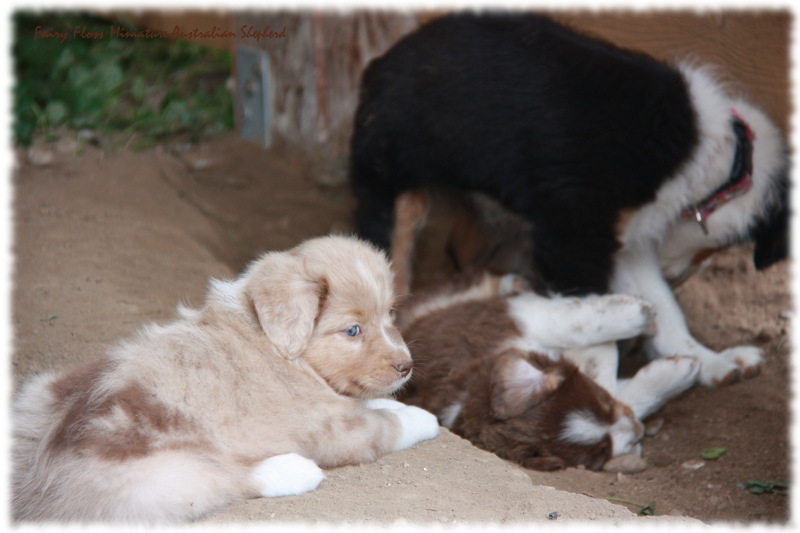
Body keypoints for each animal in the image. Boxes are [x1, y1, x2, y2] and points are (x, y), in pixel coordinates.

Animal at [10, 237, 438, 524]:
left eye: (390, 315)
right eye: (352, 330)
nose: (406, 366)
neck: (280, 346)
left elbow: (375, 402)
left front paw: (400, 402)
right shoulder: (333, 429)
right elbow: (386, 423)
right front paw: (422, 418)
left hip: (38, 392)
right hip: (161, 476)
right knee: (225, 479)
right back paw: (292, 470)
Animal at [350, 12, 788, 386]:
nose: (679, 275)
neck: (715, 157)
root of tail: (380, 62)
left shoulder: (623, 237)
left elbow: (663, 307)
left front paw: (712, 362)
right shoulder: (574, 234)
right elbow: (594, 323)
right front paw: (598, 389)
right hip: (390, 180)